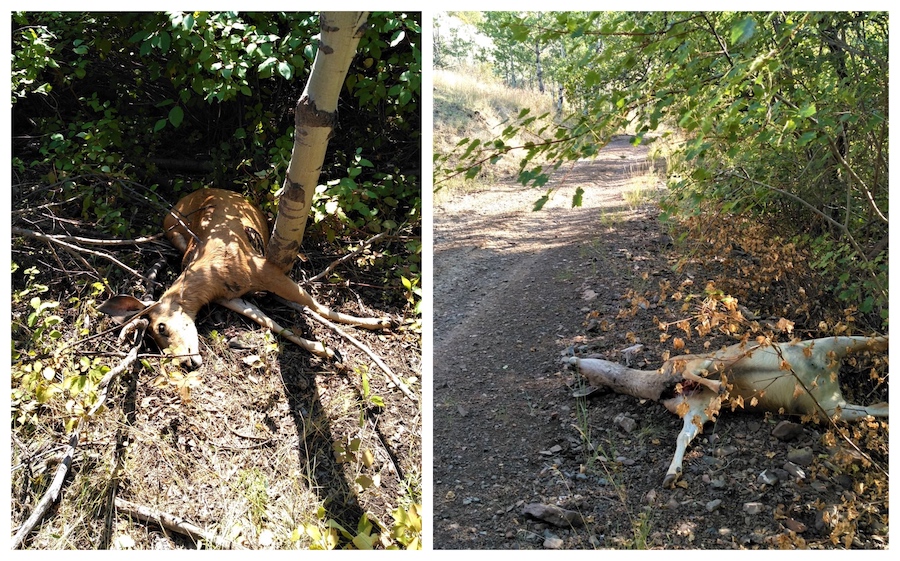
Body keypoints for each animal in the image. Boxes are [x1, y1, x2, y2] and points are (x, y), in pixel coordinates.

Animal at [98, 188, 390, 368]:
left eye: (161, 328)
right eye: (155, 341)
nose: (185, 362)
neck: (212, 276)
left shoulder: (266, 269)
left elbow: (315, 305)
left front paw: (379, 321)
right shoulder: (232, 298)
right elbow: (271, 323)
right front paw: (327, 350)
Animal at [566, 336, 888, 487]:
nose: (571, 361)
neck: (658, 386)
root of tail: (830, 378)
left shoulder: (692, 362)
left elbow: (705, 372)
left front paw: (720, 383)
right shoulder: (697, 410)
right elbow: (684, 436)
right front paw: (672, 474)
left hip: (828, 344)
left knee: (876, 339)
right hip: (831, 409)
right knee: (876, 409)